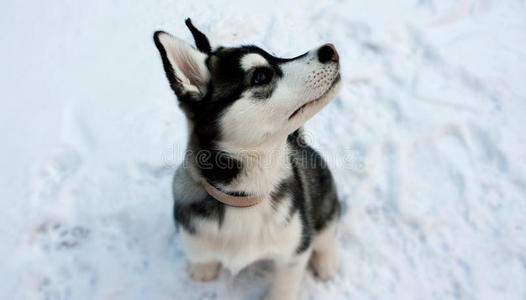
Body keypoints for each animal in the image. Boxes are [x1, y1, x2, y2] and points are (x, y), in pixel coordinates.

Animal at [154, 19, 342, 300]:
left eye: (276, 57)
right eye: (261, 76)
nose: (330, 49)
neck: (243, 197)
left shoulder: (294, 251)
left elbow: (283, 288)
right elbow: (199, 253)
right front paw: (202, 269)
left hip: (324, 200)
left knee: (327, 232)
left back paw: (326, 262)